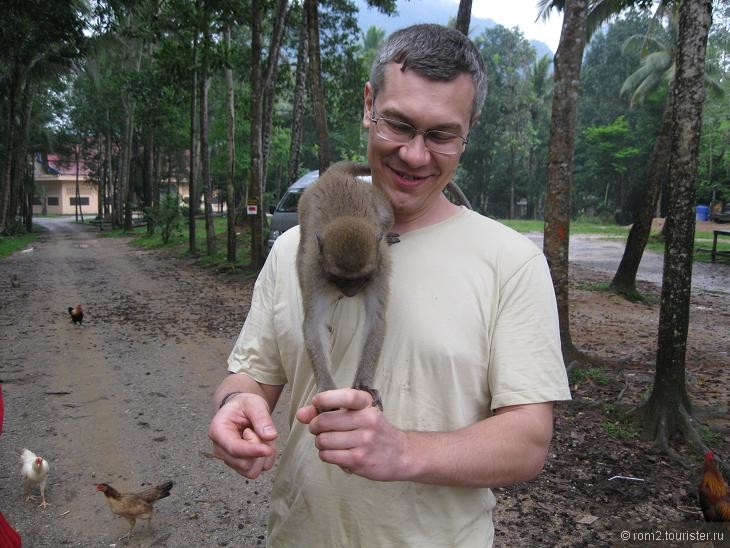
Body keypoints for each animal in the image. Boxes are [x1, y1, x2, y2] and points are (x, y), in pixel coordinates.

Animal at [294, 159, 396, 412]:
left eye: (361, 279)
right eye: (340, 279)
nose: (350, 292)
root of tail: (334, 174)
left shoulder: (379, 267)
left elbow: (375, 319)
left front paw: (363, 385)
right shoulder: (316, 269)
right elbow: (313, 323)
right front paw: (326, 388)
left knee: (387, 216)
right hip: (304, 206)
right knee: (301, 251)